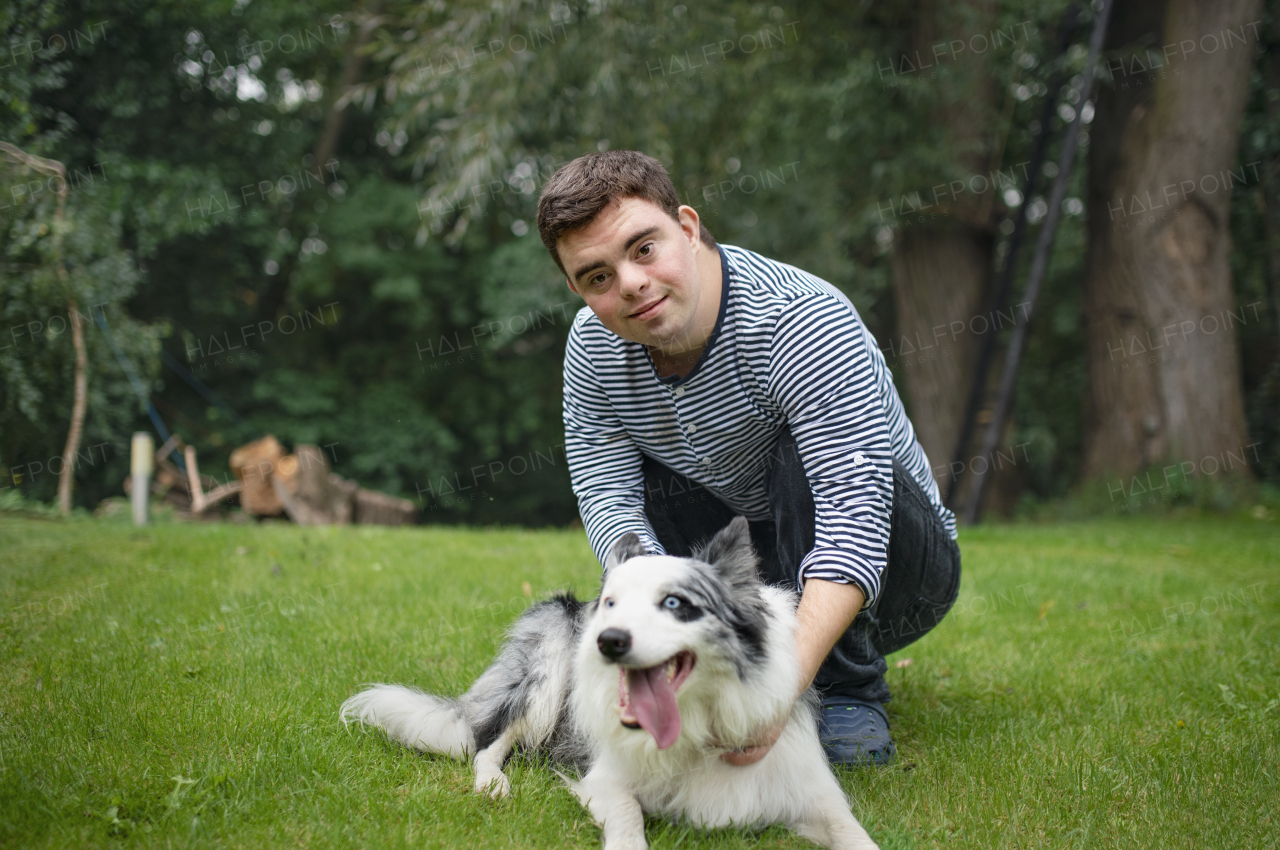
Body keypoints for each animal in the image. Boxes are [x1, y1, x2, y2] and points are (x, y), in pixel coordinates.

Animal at [340, 517, 880, 850]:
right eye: (613, 603)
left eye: (675, 603)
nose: (608, 640)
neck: (694, 725)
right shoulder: (605, 779)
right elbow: (628, 817)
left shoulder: (811, 790)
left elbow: (856, 834)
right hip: (548, 667)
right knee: (488, 741)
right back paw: (493, 783)